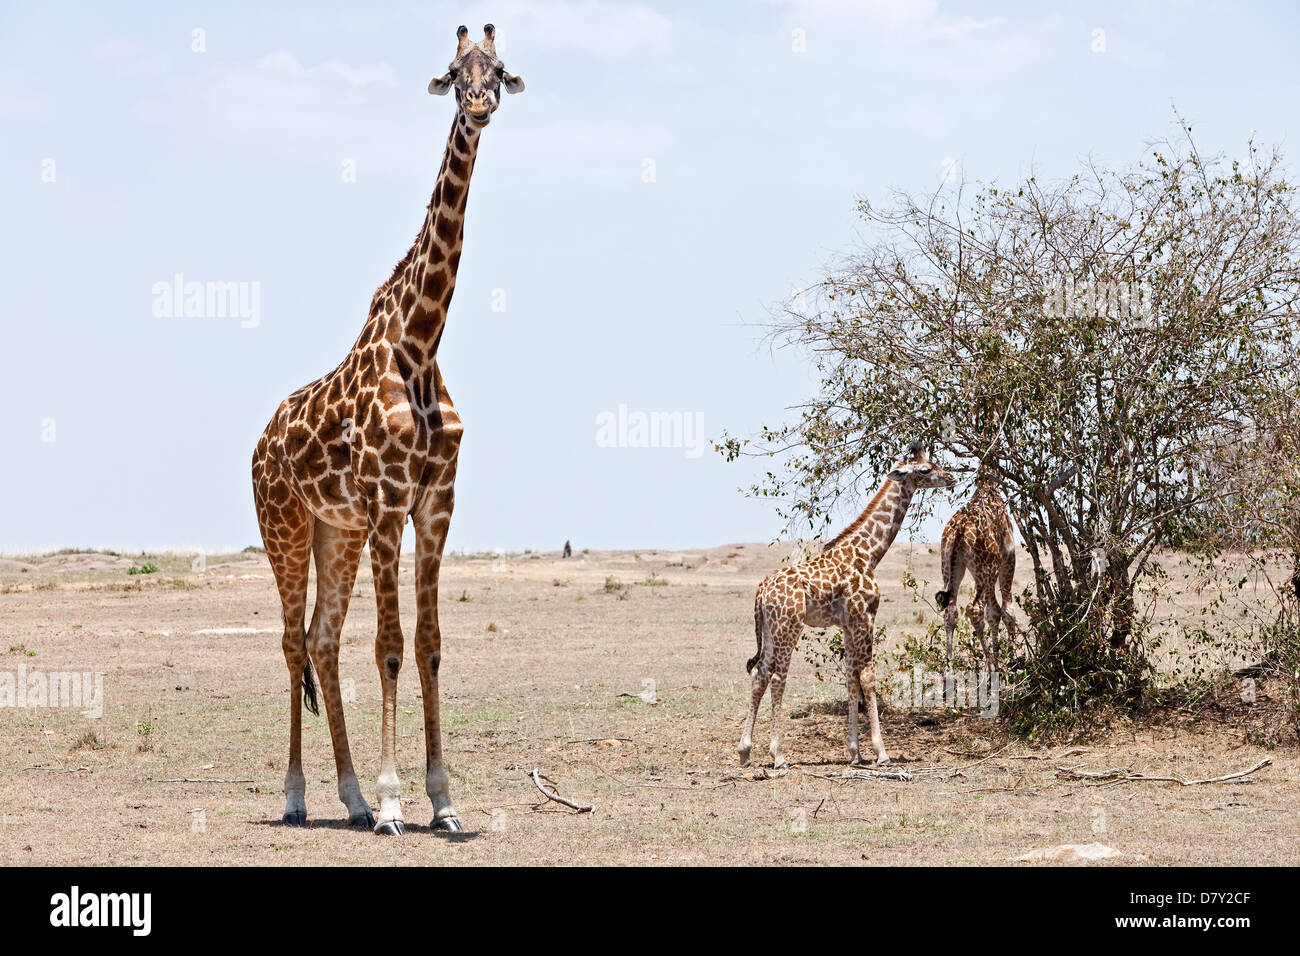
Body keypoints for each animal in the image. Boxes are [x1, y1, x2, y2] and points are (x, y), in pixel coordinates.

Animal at [250, 24, 520, 837]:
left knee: (321, 640)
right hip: (286, 524)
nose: (480, 103)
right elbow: (393, 647)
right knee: (291, 642)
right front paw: (402, 800)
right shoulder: (388, 504)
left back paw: (351, 797)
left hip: (334, 532)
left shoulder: (434, 505)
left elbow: (429, 646)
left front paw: (443, 801)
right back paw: (299, 797)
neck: (422, 340)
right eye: (453, 71)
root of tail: (257, 444)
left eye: (498, 67)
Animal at [738, 442, 961, 770]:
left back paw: (745, 751)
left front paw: (854, 752)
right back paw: (778, 755)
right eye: (925, 469)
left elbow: (850, 679)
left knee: (760, 675)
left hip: (769, 628)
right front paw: (881, 752)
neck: (869, 553)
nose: (951, 477)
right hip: (788, 626)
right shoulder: (865, 617)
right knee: (778, 677)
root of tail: (761, 591)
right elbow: (867, 677)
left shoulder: (847, 623)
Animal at [941, 463, 1019, 671]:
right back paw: (992, 665)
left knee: (951, 611)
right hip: (988, 568)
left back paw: (949, 667)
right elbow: (1007, 611)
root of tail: (958, 531)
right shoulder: (1008, 558)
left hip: (952, 567)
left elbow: (994, 612)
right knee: (978, 609)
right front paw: (1011, 661)